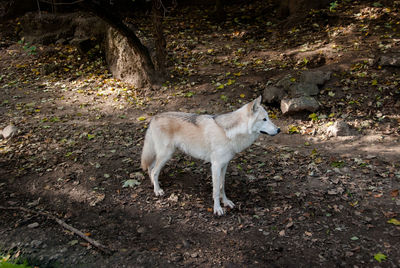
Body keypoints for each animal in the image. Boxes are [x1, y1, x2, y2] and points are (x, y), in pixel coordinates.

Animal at [142, 97, 280, 216]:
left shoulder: (224, 165)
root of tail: (154, 117)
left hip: (163, 154)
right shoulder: (215, 166)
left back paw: (153, 184)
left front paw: (226, 202)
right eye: (264, 119)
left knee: (151, 168)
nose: (279, 130)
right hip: (166, 154)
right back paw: (157, 190)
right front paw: (217, 209)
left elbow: (222, 186)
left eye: (268, 118)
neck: (229, 133)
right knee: (154, 171)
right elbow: (215, 190)